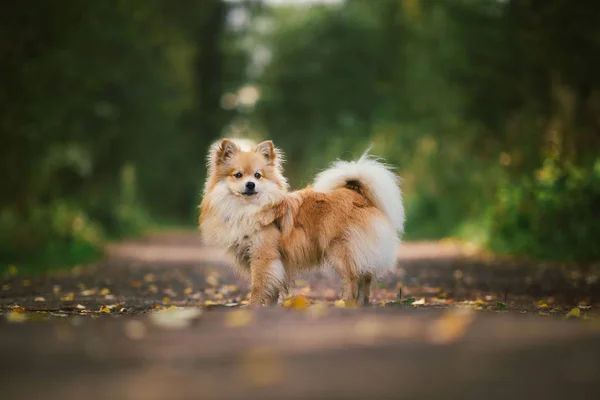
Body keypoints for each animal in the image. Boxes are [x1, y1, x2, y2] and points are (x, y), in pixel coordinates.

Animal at [200, 138, 404, 306]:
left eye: (258, 175)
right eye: (238, 175)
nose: (251, 185)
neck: (247, 209)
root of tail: (359, 195)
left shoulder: (263, 256)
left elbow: (258, 286)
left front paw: (253, 306)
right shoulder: (276, 261)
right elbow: (273, 288)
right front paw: (270, 307)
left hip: (341, 250)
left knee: (352, 279)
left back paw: (346, 303)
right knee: (366, 278)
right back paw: (362, 304)